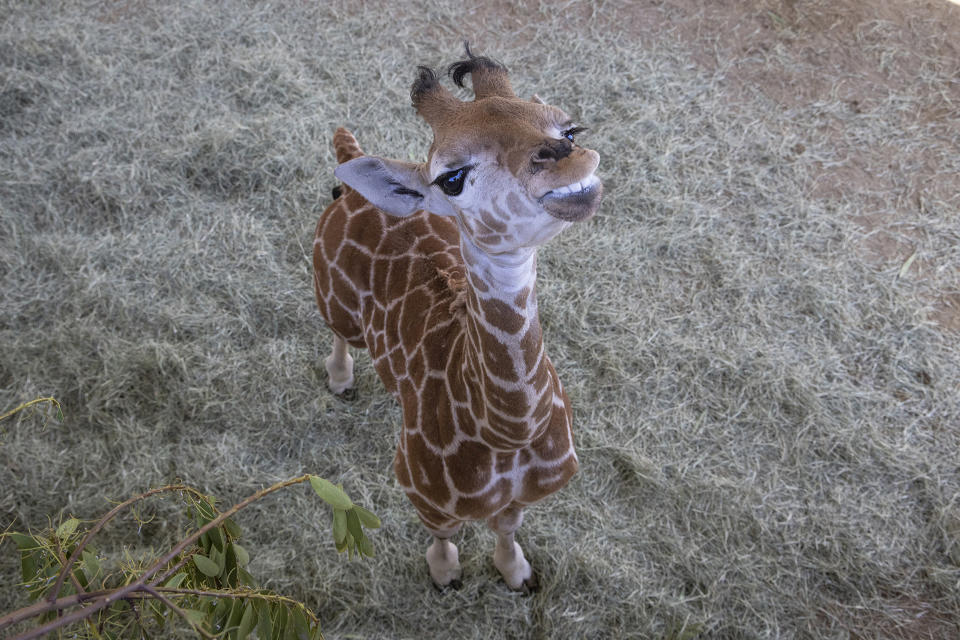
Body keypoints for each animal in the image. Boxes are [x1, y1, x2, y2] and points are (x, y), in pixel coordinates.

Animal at [314, 47, 600, 592]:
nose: (567, 159)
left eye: (571, 130)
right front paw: (446, 575)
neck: (507, 434)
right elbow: (443, 535)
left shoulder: (526, 496)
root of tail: (347, 169)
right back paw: (341, 383)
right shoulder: (422, 490)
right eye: (452, 178)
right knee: (339, 336)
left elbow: (507, 527)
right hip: (331, 299)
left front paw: (517, 574)